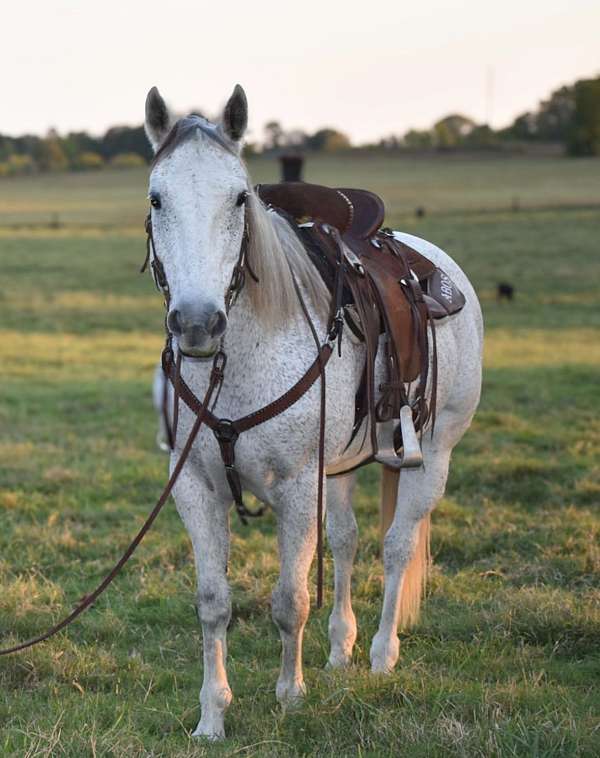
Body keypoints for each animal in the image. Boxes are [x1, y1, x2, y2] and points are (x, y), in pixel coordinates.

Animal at [144, 84, 482, 744]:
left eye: (239, 197)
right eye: (156, 197)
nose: (197, 324)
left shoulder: (298, 486)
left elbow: (290, 599)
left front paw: (291, 695)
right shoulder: (194, 486)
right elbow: (213, 601)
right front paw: (212, 717)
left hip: (434, 453)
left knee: (397, 547)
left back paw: (380, 655)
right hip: (342, 467)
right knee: (348, 543)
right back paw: (340, 649)